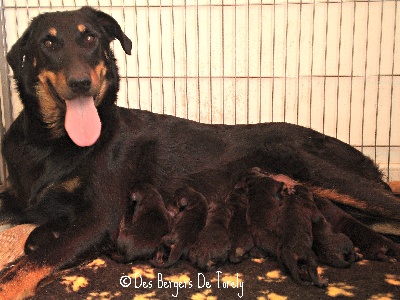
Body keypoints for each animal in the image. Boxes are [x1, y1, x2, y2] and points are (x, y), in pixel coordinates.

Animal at [0, 5, 400, 298]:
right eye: (48, 43)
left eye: (90, 38)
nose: (81, 82)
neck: (51, 142)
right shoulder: (23, 199)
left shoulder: (100, 216)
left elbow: (32, 262)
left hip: (324, 173)